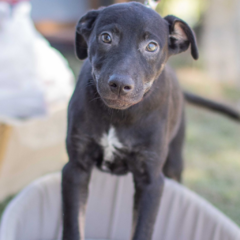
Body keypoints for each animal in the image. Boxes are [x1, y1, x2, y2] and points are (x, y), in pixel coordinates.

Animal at [62, 2, 240, 240]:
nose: (120, 85)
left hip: (174, 162)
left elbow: (142, 229)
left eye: (152, 46)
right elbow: (73, 225)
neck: (119, 115)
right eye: (106, 37)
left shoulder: (151, 180)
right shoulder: (76, 168)